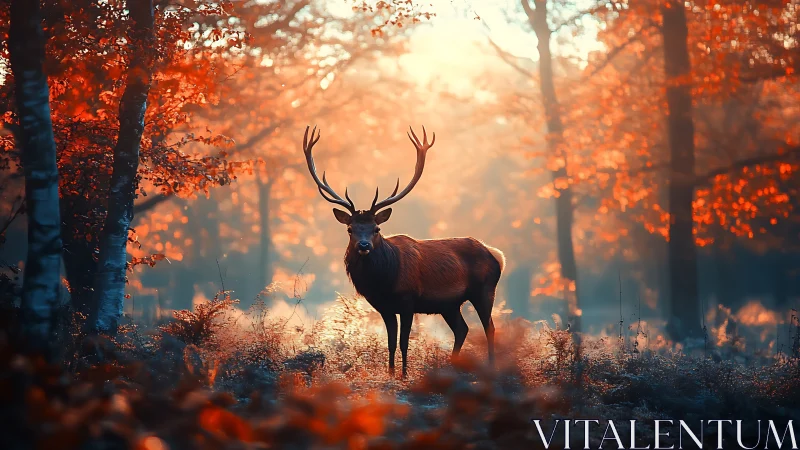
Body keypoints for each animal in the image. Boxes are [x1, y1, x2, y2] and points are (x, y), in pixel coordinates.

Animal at [301, 125, 505, 378]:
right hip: (449, 304)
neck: (384, 281)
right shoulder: (383, 306)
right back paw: (452, 367)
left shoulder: (409, 300)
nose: (364, 246)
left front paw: (405, 375)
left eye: (376, 228)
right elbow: (390, 342)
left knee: (490, 327)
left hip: (484, 290)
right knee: (462, 329)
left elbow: (404, 341)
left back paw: (491, 367)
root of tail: (496, 254)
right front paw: (390, 373)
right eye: (350, 229)